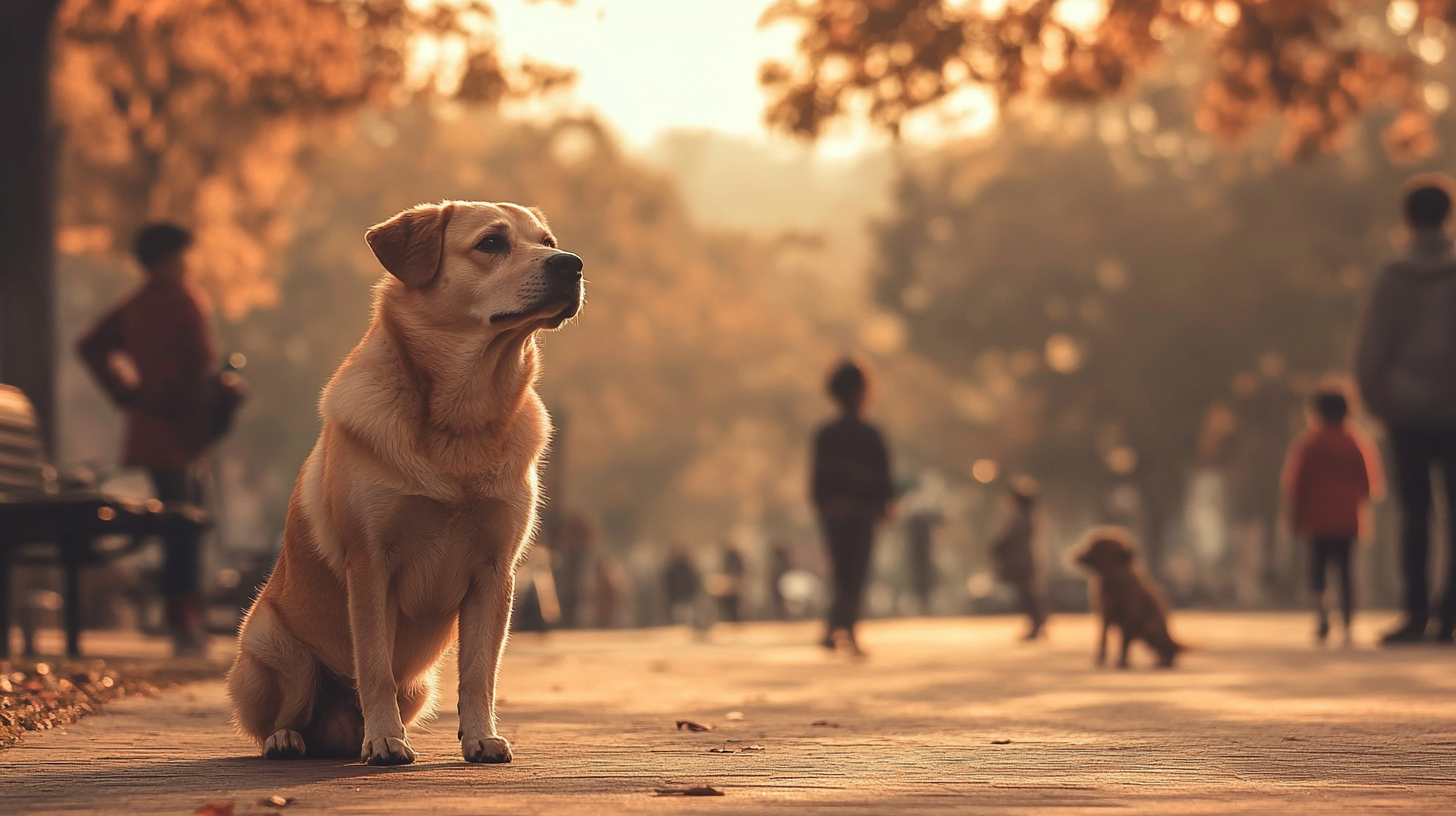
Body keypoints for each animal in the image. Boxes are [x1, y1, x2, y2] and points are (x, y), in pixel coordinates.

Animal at [224, 201, 582, 763]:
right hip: (275, 650)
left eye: (547, 241)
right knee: (282, 717)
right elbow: (373, 664)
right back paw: (291, 739)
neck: (460, 423)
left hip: (420, 684)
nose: (572, 264)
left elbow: (480, 671)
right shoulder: (371, 564)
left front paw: (481, 737)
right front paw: (387, 740)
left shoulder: (495, 572)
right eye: (491, 243)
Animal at [1071, 530, 1182, 670]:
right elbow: (1103, 639)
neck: (1112, 577)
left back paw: (1164, 662)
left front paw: (1122, 663)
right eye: (1091, 543)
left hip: (1152, 628)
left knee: (1168, 649)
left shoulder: (1128, 618)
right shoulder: (1105, 615)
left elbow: (1124, 643)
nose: (1075, 554)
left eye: (1098, 546)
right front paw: (1100, 661)